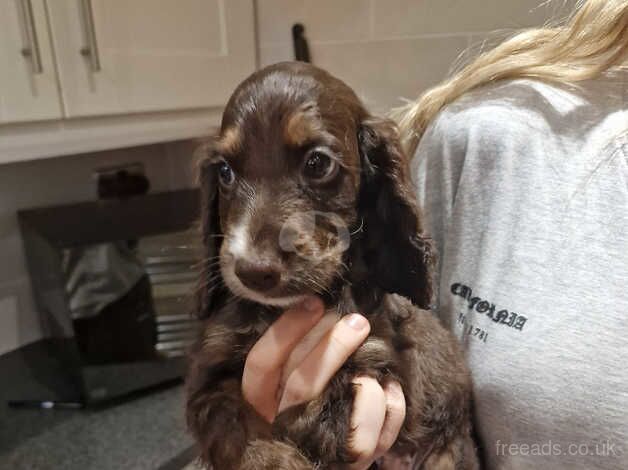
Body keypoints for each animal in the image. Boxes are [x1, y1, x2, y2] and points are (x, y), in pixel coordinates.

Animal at [184, 62, 478, 470]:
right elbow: (234, 426)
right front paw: (279, 459)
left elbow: (367, 355)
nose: (253, 271)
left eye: (318, 163)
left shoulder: (384, 347)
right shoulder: (209, 375)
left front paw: (320, 423)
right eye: (225, 171)